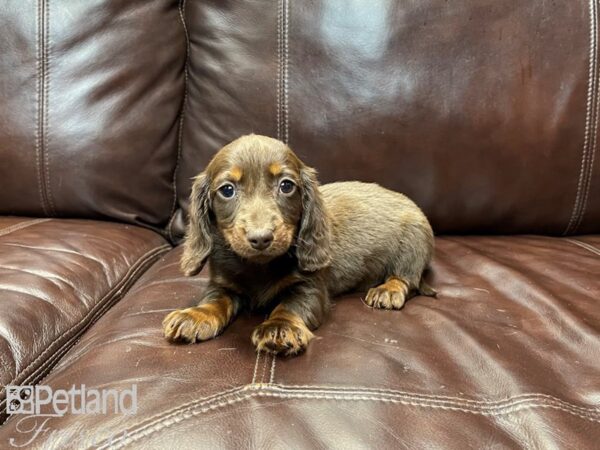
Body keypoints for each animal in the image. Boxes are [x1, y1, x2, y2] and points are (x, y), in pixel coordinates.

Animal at [163, 134, 436, 356]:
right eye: (227, 190)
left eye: (286, 185)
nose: (261, 238)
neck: (259, 266)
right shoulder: (222, 283)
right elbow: (214, 299)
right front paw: (195, 315)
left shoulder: (310, 287)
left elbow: (290, 305)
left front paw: (279, 328)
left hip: (415, 240)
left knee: (406, 279)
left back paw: (387, 290)